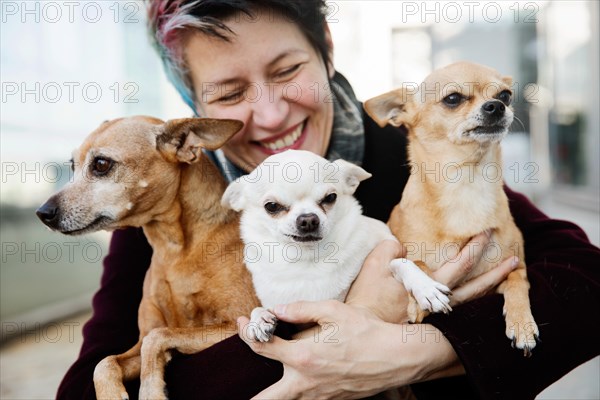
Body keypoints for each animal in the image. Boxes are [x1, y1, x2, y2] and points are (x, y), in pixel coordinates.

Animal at [36, 115, 258, 396]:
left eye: (101, 164)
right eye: (72, 165)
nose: (42, 213)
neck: (175, 250)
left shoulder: (238, 323)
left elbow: (158, 337)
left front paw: (151, 392)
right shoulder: (139, 341)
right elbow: (104, 363)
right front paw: (112, 395)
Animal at [364, 61, 540, 354]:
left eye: (505, 95)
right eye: (453, 98)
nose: (496, 106)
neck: (466, 183)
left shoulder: (512, 265)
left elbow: (518, 281)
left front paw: (522, 324)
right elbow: (417, 261)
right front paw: (424, 294)